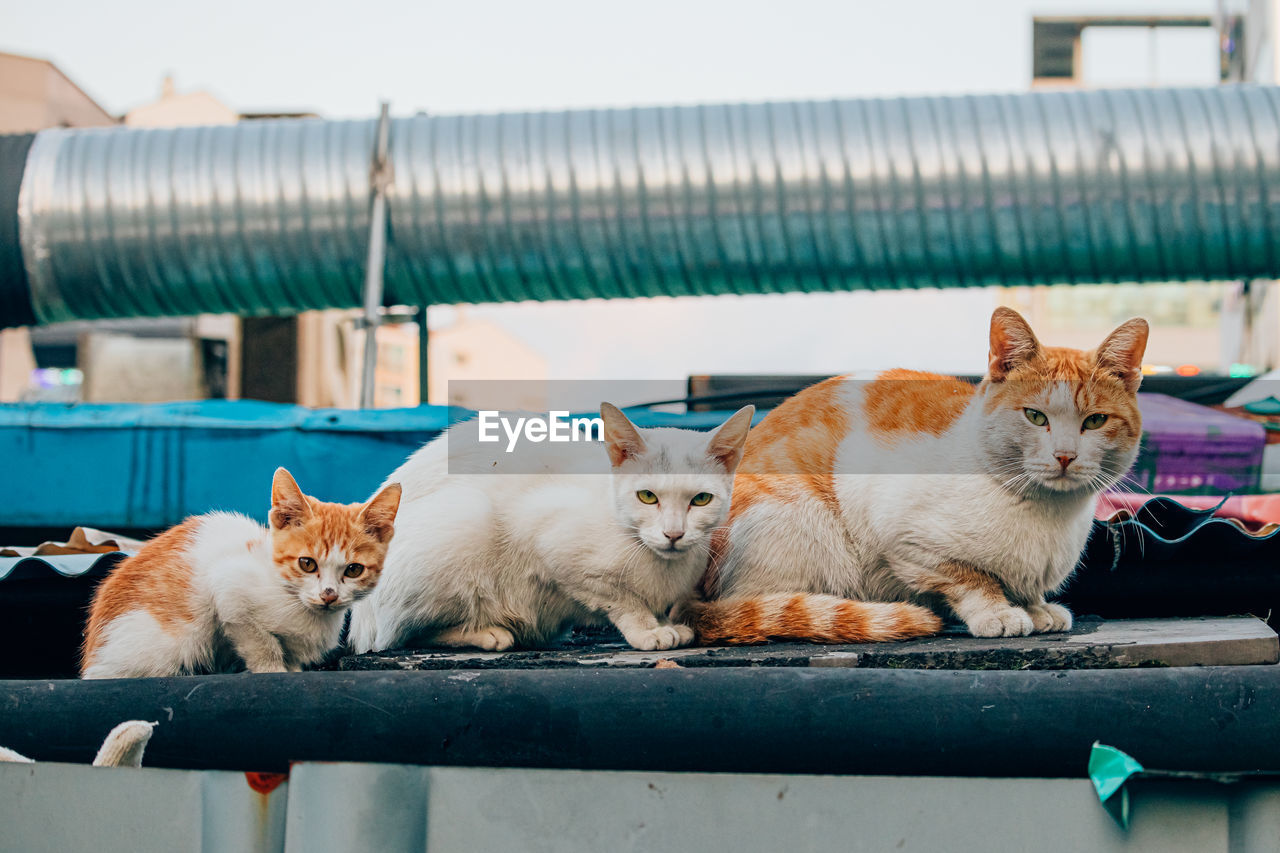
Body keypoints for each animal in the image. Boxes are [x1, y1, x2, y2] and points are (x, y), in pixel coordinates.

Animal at [81, 466, 399, 676]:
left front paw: (294, 670)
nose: (329, 595)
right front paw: (272, 670)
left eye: (354, 570)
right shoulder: (230, 590)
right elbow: (260, 642)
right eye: (307, 563)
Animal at [345, 399, 752, 650]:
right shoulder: (550, 542)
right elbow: (620, 599)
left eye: (701, 500)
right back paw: (487, 633)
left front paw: (664, 622)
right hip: (466, 520)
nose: (673, 534)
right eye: (647, 497)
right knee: (399, 636)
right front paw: (648, 631)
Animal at [701, 308, 1152, 640]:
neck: (1047, 515)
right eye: (1035, 416)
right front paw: (998, 612)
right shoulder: (904, 538)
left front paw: (1035, 607)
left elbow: (1023, 587)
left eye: (1095, 421)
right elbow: (971, 578)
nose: (1064, 456)